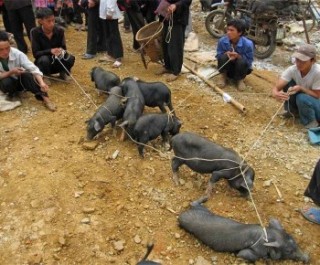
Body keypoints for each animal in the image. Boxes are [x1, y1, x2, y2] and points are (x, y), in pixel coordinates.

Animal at [179, 199, 308, 260]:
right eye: (288, 251)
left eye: (295, 242)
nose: (307, 258)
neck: (267, 235)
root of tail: (182, 214)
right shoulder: (253, 251)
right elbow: (243, 255)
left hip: (204, 210)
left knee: (194, 203)